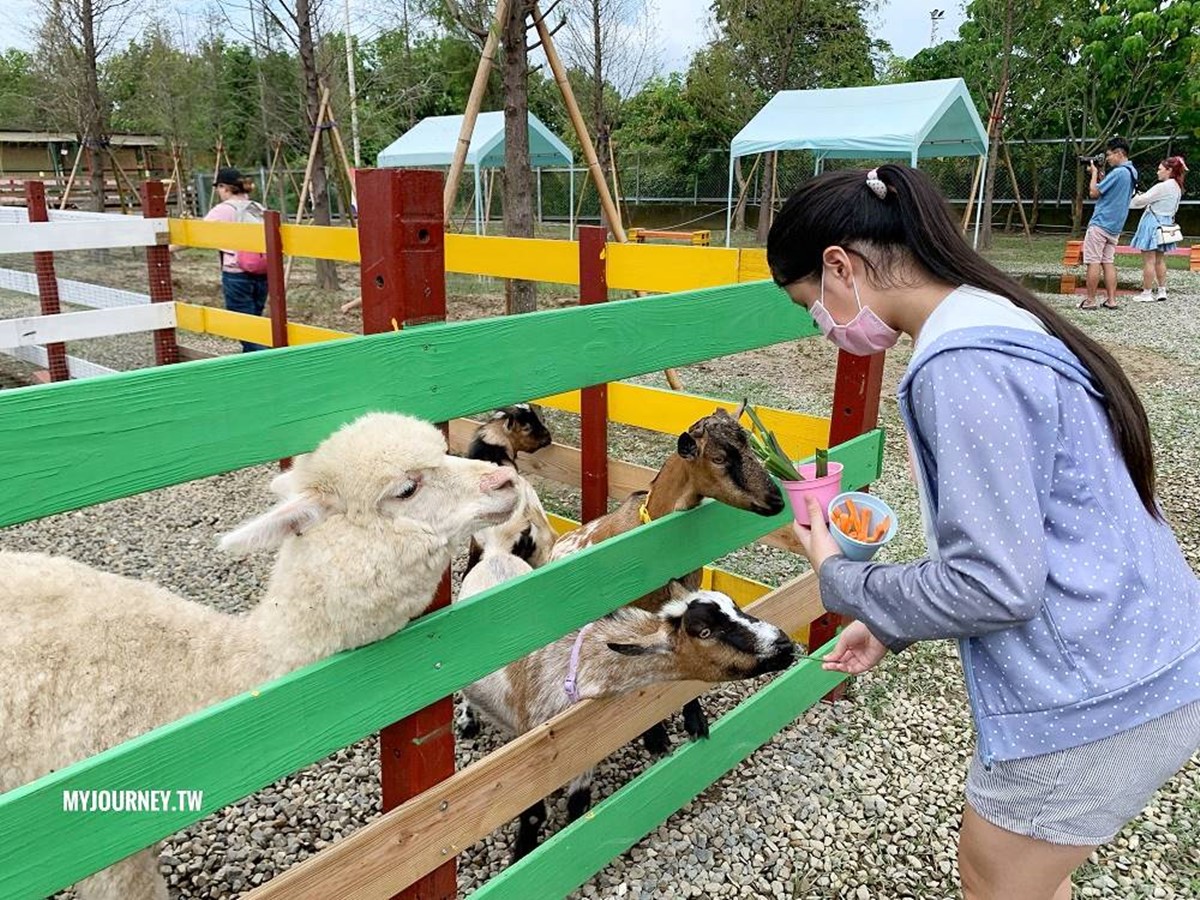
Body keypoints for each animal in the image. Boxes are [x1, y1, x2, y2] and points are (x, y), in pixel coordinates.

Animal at [458, 573, 796, 864]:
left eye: (734, 606)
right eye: (704, 632)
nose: (784, 644)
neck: (585, 666)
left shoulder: (581, 752)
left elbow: (579, 806)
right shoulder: (532, 763)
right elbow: (532, 815)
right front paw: (521, 857)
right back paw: (467, 723)